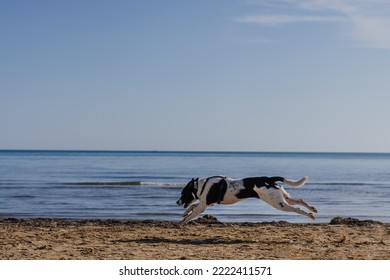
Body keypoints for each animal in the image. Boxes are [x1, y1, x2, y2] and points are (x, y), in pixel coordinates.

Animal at [177, 175, 316, 225]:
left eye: (183, 193)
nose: (177, 202)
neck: (202, 186)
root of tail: (269, 179)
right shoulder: (207, 204)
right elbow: (192, 207)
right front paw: (184, 213)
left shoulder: (203, 206)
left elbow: (191, 214)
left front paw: (182, 222)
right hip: (282, 198)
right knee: (299, 200)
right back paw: (312, 209)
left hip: (278, 203)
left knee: (296, 209)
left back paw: (310, 214)